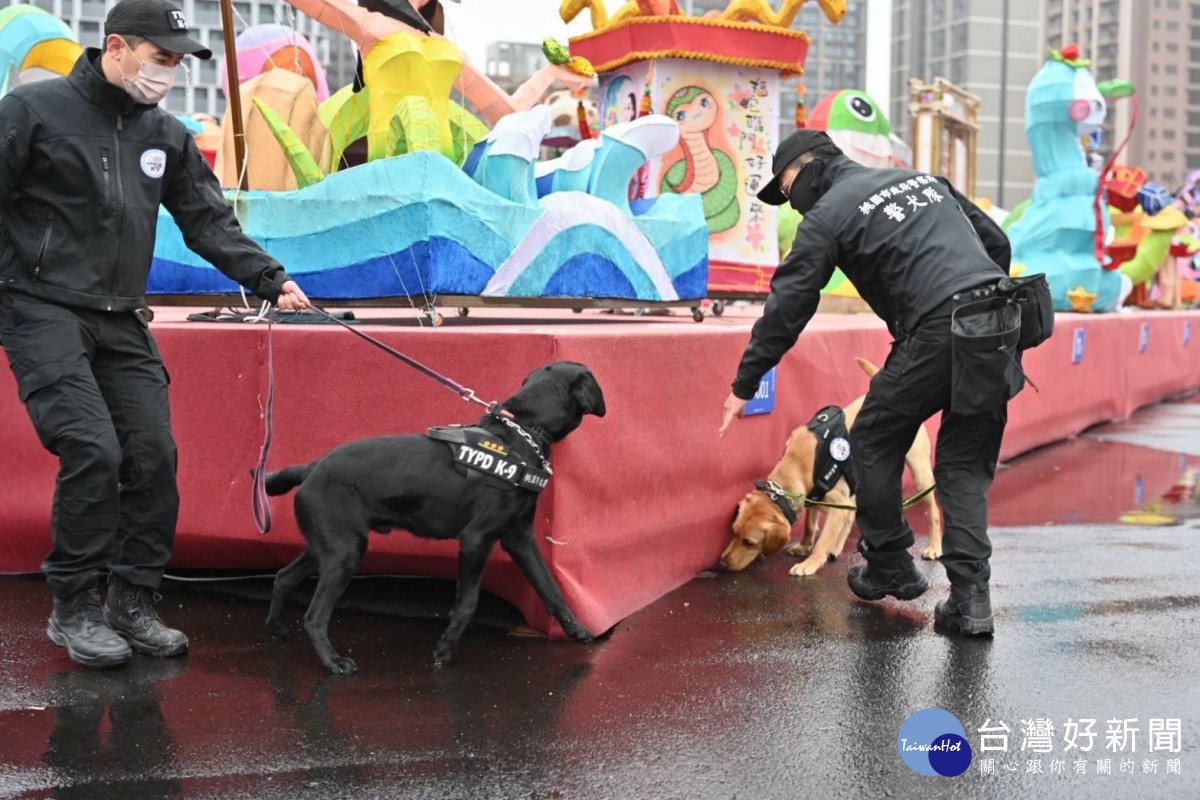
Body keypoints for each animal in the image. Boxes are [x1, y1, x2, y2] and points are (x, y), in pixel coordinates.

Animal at [259, 364, 604, 676]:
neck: (525, 432)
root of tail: (311, 467)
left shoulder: (519, 538)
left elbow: (550, 588)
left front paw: (577, 631)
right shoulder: (476, 539)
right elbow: (468, 603)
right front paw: (445, 649)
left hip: (327, 548)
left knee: (284, 577)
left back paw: (278, 630)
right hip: (344, 553)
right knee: (314, 616)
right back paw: (333, 662)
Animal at [715, 359, 940, 578]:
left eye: (749, 543)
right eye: (734, 532)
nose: (723, 564)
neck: (796, 466)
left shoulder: (837, 507)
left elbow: (822, 541)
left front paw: (810, 563)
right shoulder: (815, 499)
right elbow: (810, 526)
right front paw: (804, 546)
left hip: (920, 474)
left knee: (934, 512)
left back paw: (934, 547)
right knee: (851, 516)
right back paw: (837, 548)